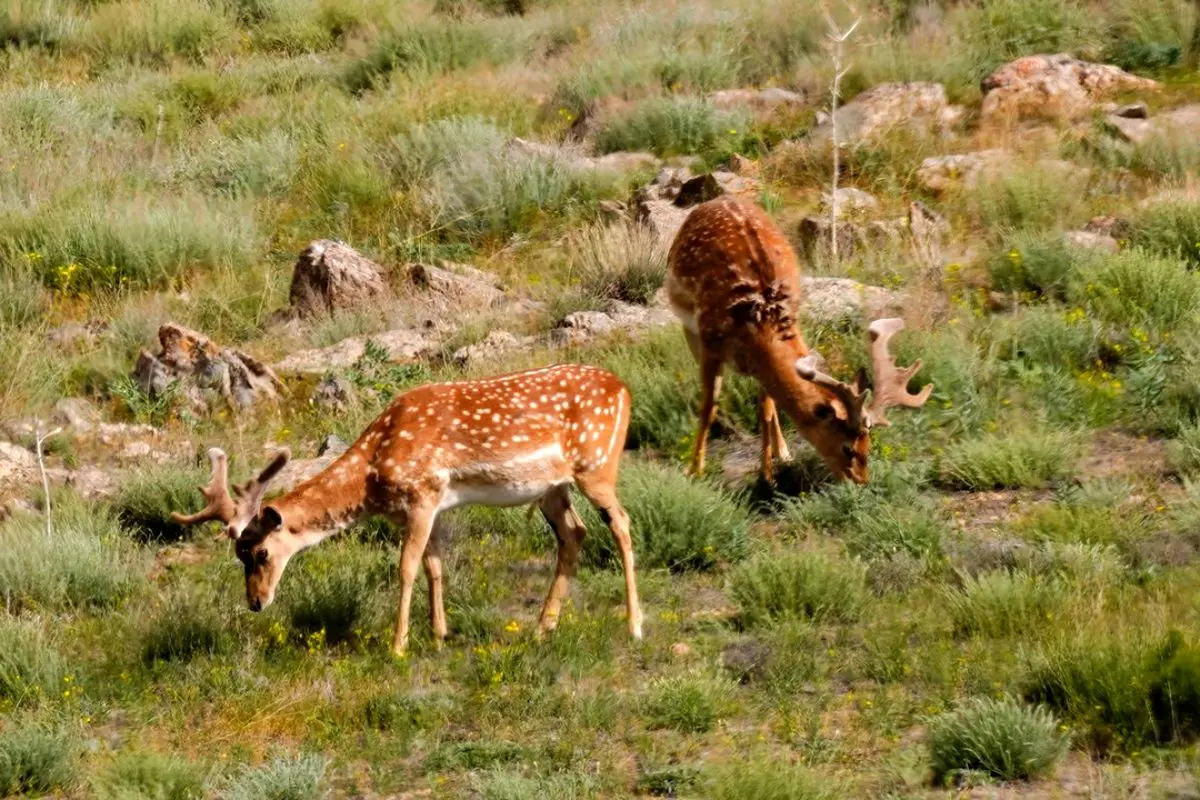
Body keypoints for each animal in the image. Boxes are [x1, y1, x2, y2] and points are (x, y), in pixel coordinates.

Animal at [170, 362, 648, 657]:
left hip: (597, 463)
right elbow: (435, 565)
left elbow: (406, 568)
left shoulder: (421, 495)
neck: (374, 474)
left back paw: (634, 625)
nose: (255, 602)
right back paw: (542, 628)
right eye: (238, 555)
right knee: (575, 533)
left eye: (261, 552)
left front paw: (398, 644)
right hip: (552, 487)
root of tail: (625, 389)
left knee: (622, 524)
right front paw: (438, 635)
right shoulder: (431, 505)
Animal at [667, 194, 926, 482]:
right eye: (847, 448)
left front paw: (767, 471)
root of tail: (720, 198)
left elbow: (766, 406)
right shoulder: (710, 342)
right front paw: (695, 471)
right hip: (688, 326)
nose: (860, 481)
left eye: (868, 443)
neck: (757, 322)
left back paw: (783, 451)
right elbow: (707, 406)